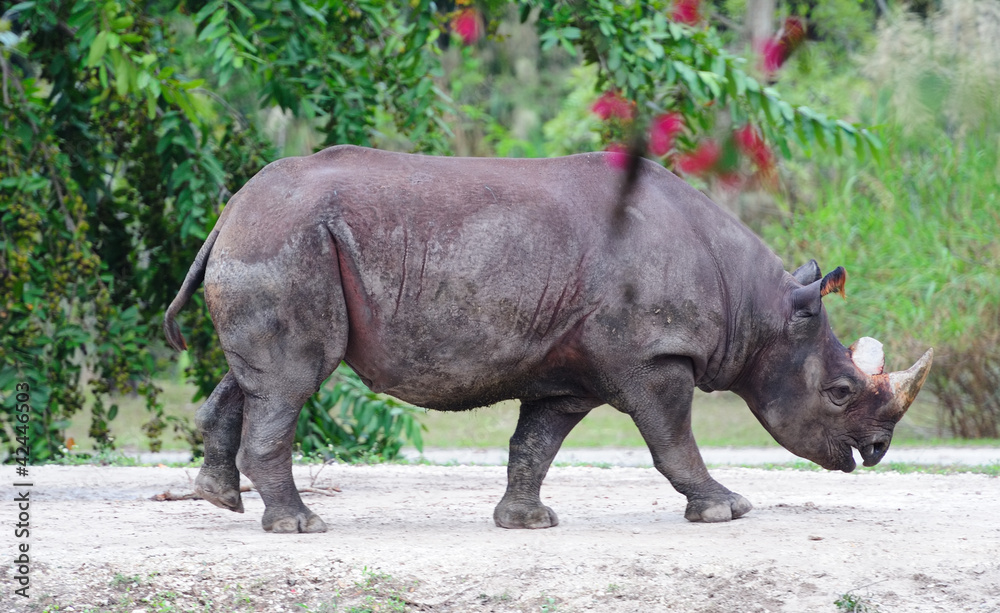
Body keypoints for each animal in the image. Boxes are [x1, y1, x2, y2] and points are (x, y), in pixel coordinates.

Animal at [164, 145, 932, 533]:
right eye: (840, 392)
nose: (878, 450)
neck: (758, 307)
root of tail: (231, 208)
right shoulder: (654, 354)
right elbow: (673, 440)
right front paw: (724, 508)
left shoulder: (572, 371)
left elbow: (536, 443)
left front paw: (527, 521)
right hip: (289, 238)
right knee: (296, 377)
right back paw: (301, 526)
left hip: (277, 240)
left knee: (260, 375)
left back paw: (220, 500)